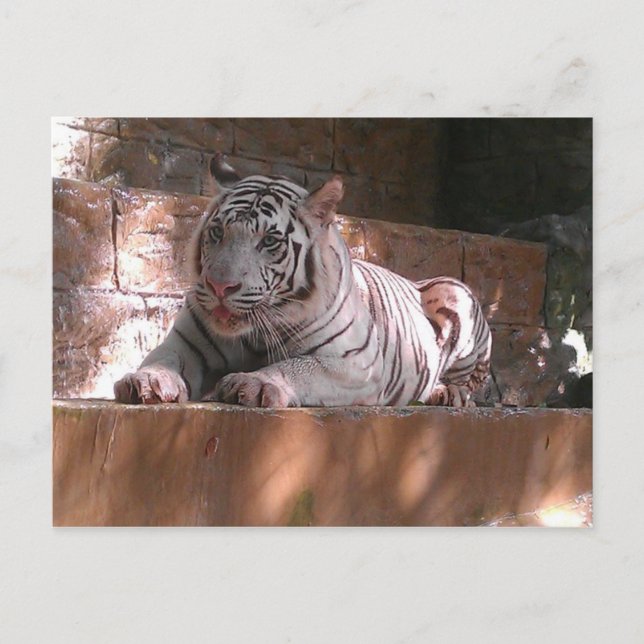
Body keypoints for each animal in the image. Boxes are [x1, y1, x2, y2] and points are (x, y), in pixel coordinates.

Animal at [114, 154, 491, 408]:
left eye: (269, 241)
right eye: (217, 232)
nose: (221, 287)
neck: (253, 333)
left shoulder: (357, 364)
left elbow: (297, 366)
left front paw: (253, 383)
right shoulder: (185, 343)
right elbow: (163, 358)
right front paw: (146, 380)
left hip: (455, 293)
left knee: (468, 382)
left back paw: (447, 393)